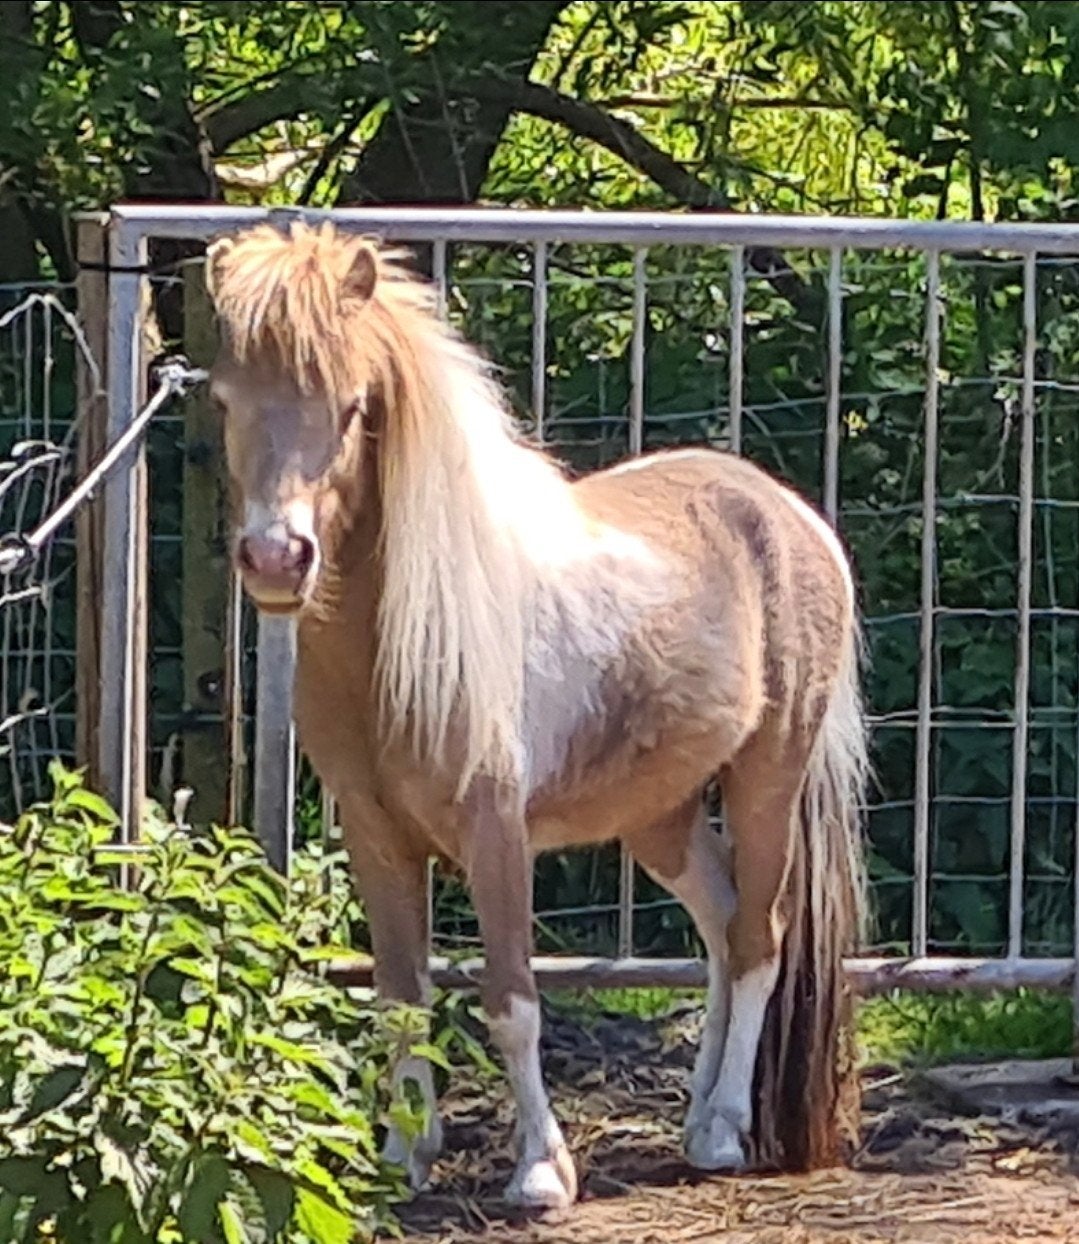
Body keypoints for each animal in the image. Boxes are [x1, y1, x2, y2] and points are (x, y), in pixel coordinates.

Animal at [205, 220, 869, 1214]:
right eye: (223, 400)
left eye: (355, 406)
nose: (277, 559)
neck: (403, 638)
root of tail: (787, 514)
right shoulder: (375, 837)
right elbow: (401, 998)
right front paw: (404, 1156)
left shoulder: (495, 831)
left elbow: (511, 1001)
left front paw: (541, 1173)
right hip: (658, 814)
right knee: (718, 925)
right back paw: (695, 1116)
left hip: (767, 777)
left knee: (759, 937)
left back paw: (721, 1131)